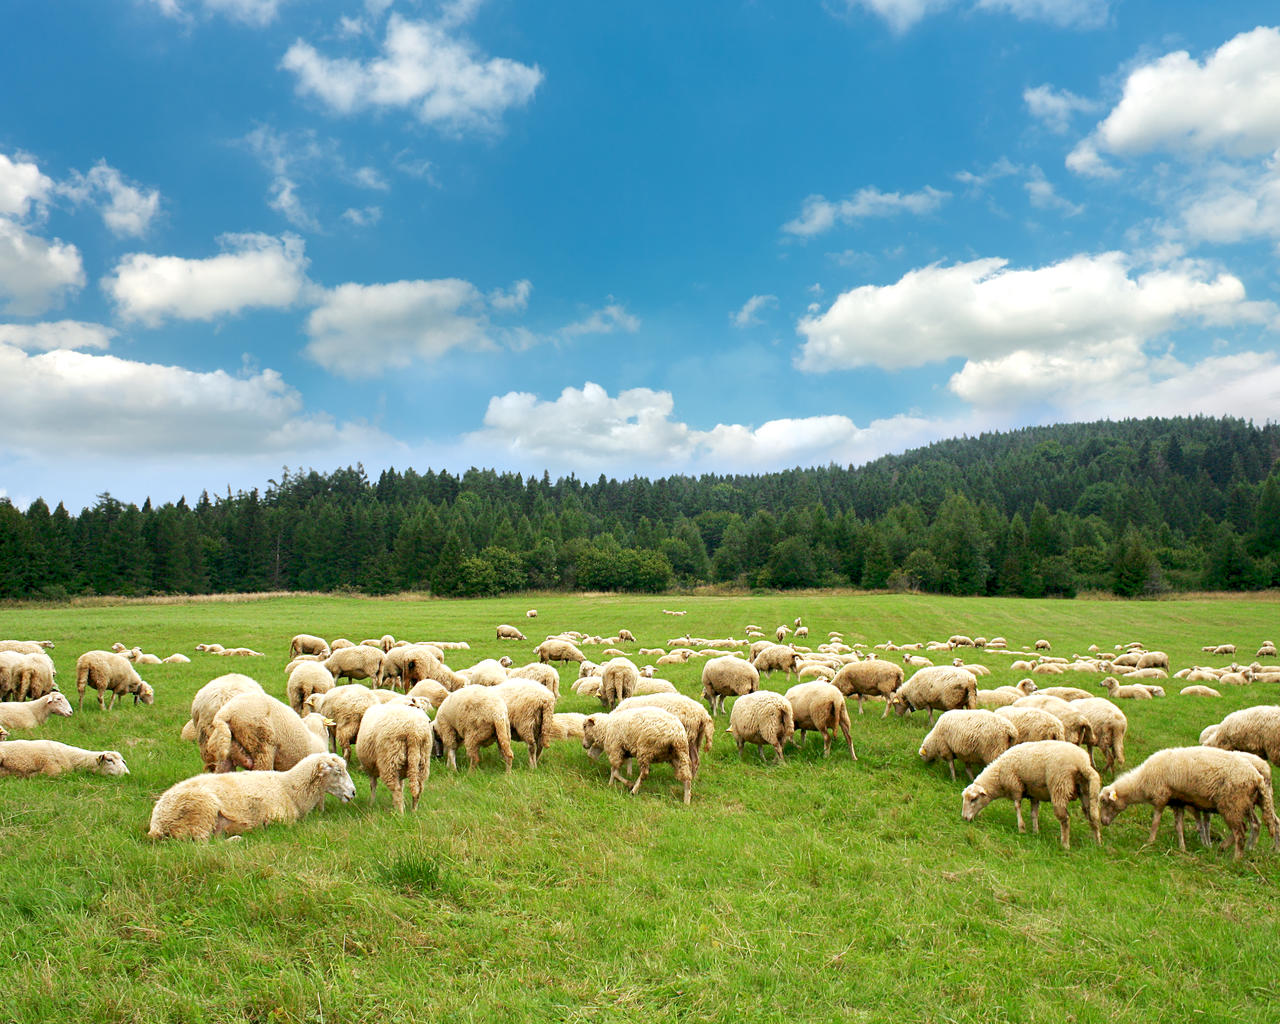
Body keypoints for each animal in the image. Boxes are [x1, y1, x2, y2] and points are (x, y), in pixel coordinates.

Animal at [148, 752, 355, 839]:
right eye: (338, 771)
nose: (353, 792)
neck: (290, 788)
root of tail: (157, 822)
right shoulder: (278, 819)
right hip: (201, 810)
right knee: (200, 842)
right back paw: (237, 838)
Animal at [962, 742, 1100, 849]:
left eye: (974, 799)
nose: (964, 818)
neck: (998, 776)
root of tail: (1083, 763)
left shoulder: (1015, 786)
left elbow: (1017, 807)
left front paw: (1021, 829)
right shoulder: (1034, 794)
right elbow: (1034, 813)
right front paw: (1035, 832)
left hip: (1059, 786)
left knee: (1065, 819)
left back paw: (1065, 845)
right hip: (1085, 789)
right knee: (1091, 815)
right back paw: (1096, 843)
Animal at [1100, 747, 1280, 860]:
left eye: (1104, 802)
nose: (1103, 822)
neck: (1142, 781)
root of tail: (1256, 776)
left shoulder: (1161, 797)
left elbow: (1155, 822)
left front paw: (1150, 842)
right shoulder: (1177, 802)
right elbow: (1179, 826)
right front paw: (1182, 847)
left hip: (1232, 804)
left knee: (1241, 832)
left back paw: (1235, 858)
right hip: (1243, 803)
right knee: (1253, 825)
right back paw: (1231, 848)